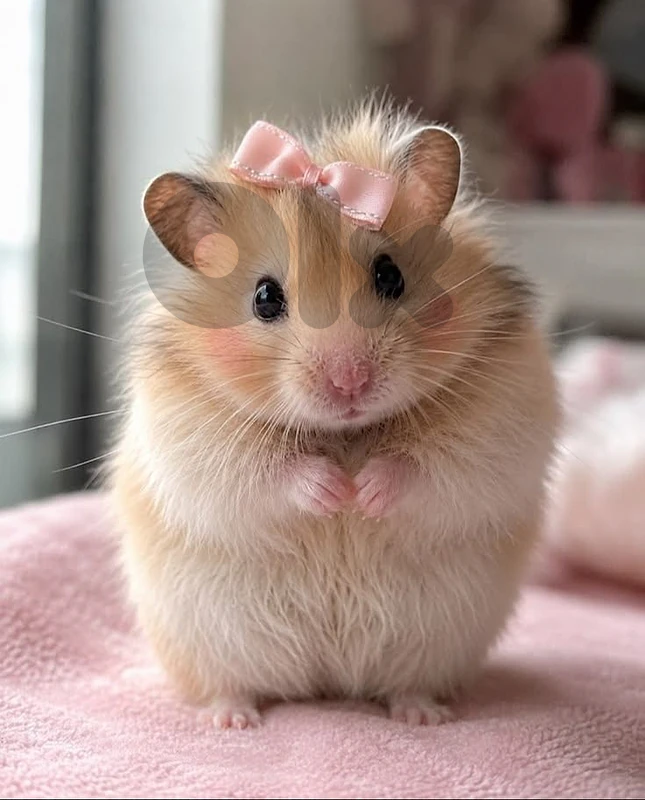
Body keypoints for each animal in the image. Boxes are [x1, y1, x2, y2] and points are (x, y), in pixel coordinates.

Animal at [112, 101, 558, 729]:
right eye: (265, 298)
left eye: (390, 275)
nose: (350, 382)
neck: (345, 434)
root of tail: (327, 684)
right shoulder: (190, 438)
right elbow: (267, 471)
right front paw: (334, 493)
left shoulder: (502, 421)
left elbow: (429, 466)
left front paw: (363, 494)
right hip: (204, 641)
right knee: (228, 684)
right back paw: (232, 721)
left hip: (434, 643)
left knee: (407, 683)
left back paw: (422, 716)